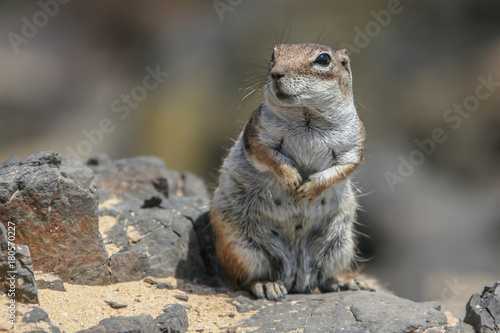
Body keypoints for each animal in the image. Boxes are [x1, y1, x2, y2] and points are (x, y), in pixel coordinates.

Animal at [209, 42, 376, 300]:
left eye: (323, 59)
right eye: (273, 55)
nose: (276, 73)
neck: (307, 116)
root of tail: (297, 277)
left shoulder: (354, 144)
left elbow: (343, 168)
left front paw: (308, 189)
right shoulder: (256, 133)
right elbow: (269, 157)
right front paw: (291, 179)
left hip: (340, 244)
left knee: (326, 279)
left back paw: (350, 282)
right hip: (240, 246)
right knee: (243, 279)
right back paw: (266, 284)